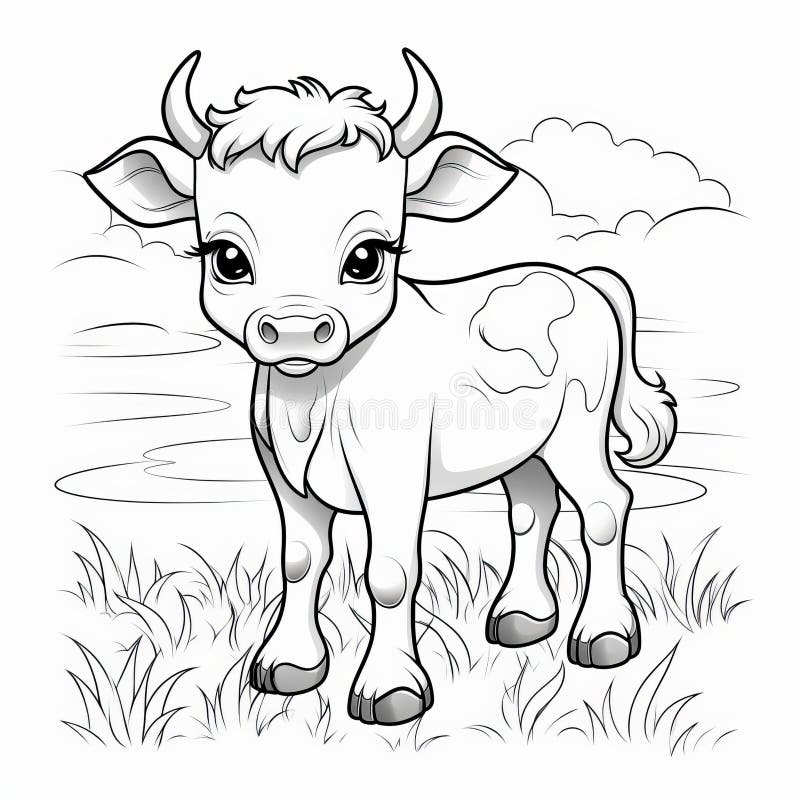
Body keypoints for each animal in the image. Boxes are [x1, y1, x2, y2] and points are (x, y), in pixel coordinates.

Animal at [85, 50, 677, 726]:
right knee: (532, 507)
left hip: (578, 431)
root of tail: (577, 276)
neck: (315, 401)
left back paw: (604, 635)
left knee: (604, 505)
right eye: (227, 257)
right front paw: (289, 665)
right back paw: (523, 618)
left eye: (367, 256)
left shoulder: (394, 475)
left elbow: (390, 573)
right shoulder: (283, 478)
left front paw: (391, 690)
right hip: (525, 444)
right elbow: (301, 560)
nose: (295, 329)